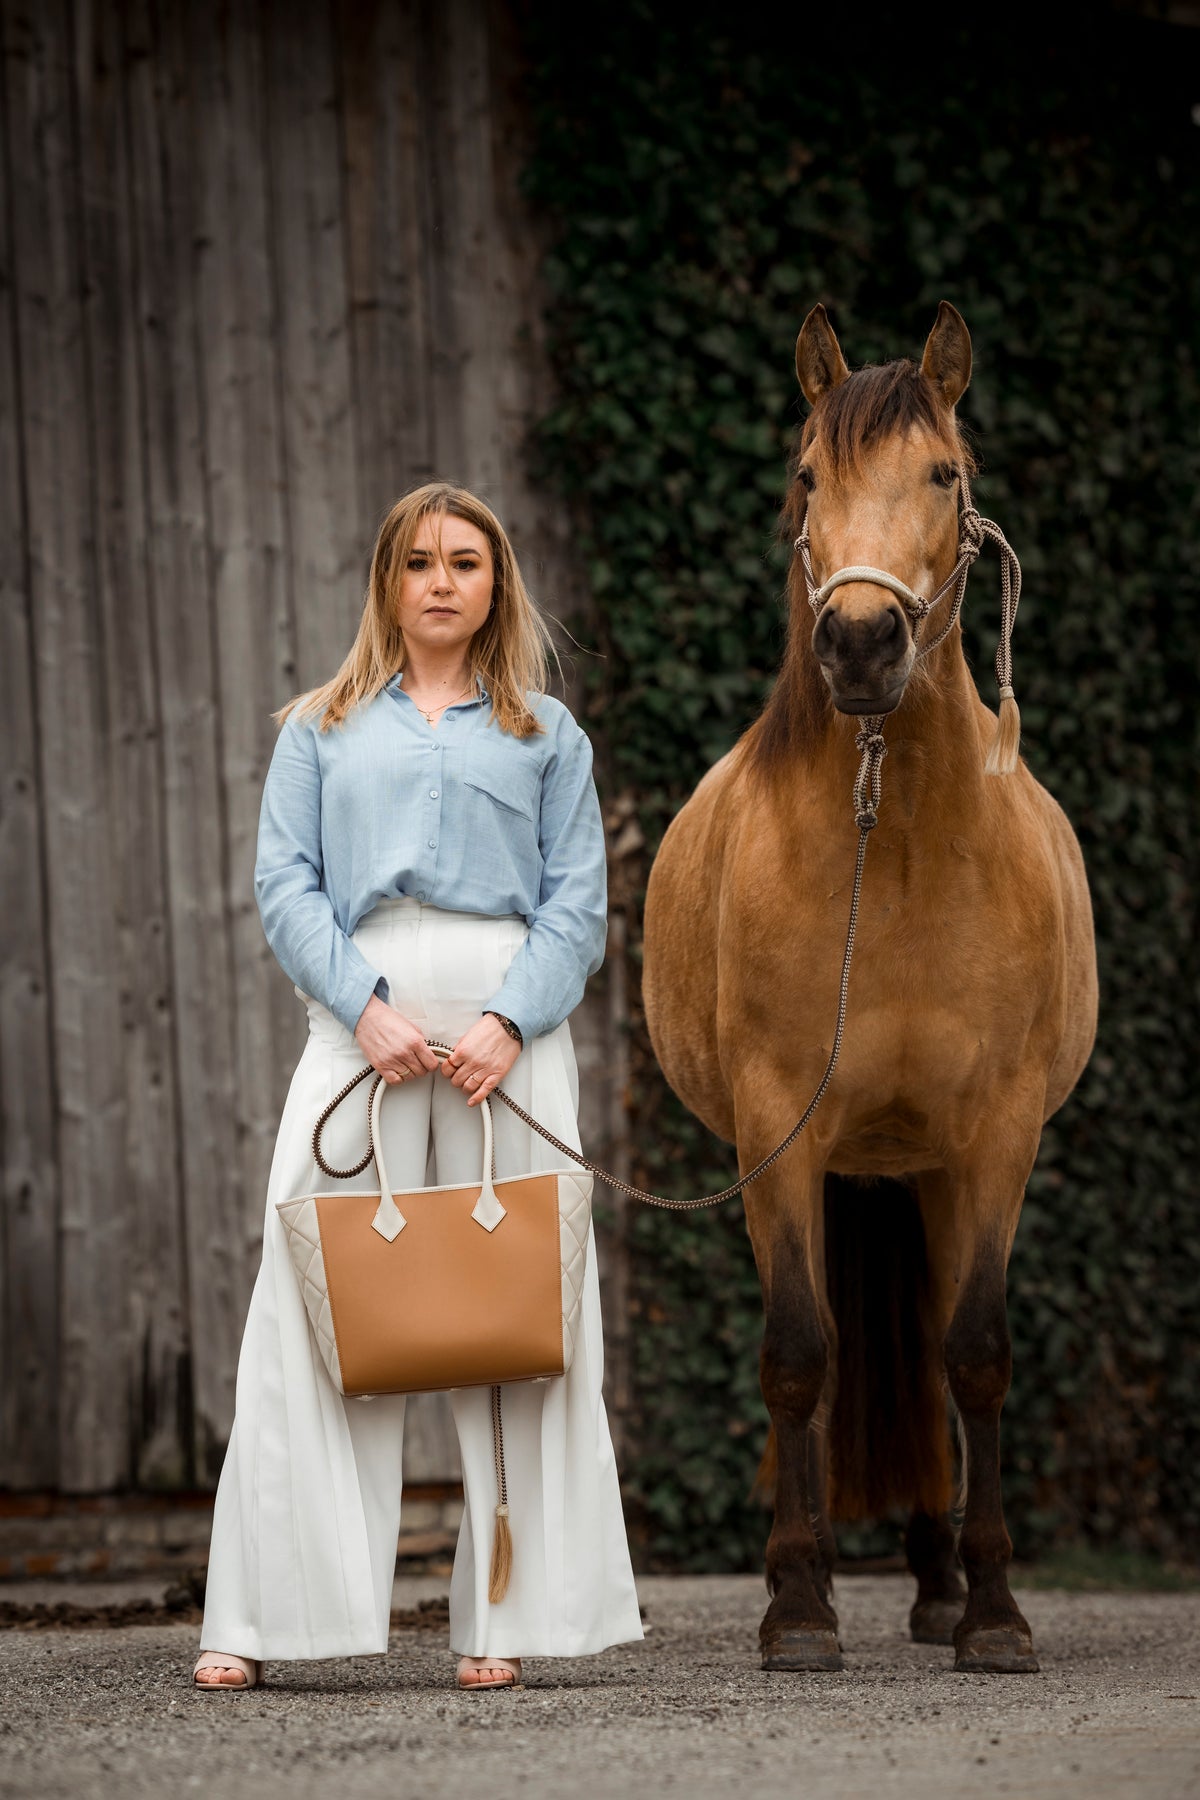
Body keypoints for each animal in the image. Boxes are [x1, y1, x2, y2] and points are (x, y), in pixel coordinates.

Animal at [647, 302, 1101, 1663]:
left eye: (946, 476)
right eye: (808, 477)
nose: (858, 642)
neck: (890, 853)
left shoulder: (997, 1136)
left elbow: (977, 1353)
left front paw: (994, 1612)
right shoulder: (777, 1131)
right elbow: (803, 1354)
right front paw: (798, 1605)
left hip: (924, 1171)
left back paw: (942, 1579)